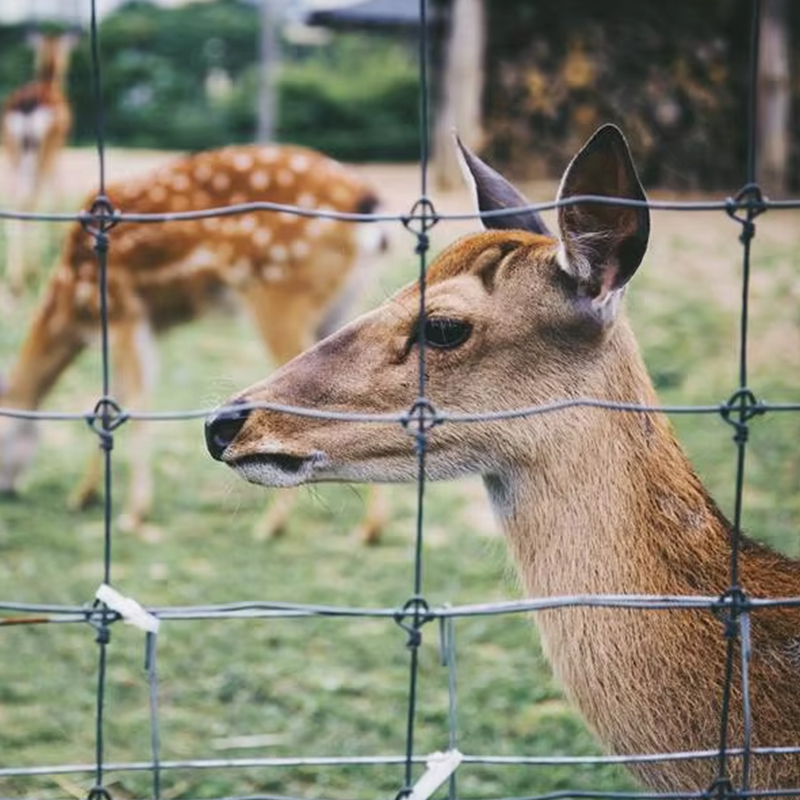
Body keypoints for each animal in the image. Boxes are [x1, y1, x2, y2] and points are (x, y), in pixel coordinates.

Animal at [0, 31, 78, 294]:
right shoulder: (59, 145)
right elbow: (55, 191)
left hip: (13, 150)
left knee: (16, 198)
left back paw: (17, 277)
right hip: (43, 147)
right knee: (30, 197)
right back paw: (25, 275)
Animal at [0, 143, 388, 540]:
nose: (7, 491)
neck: (73, 304)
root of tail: (367, 204)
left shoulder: (124, 309)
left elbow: (133, 401)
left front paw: (133, 514)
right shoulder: (152, 323)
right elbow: (114, 399)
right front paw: (83, 495)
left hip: (279, 290)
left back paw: (271, 525)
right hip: (343, 304)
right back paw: (368, 528)